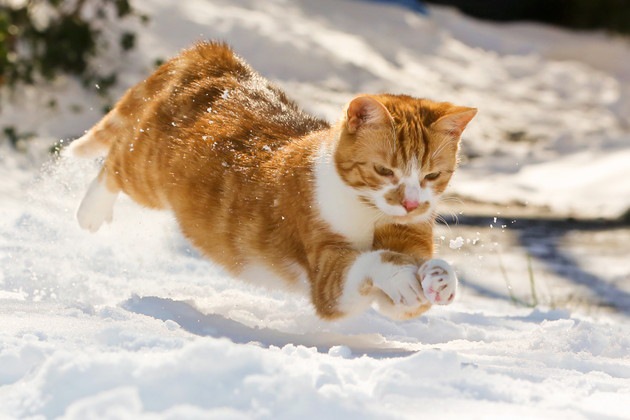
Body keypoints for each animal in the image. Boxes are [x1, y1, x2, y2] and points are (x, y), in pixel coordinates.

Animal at [69, 41, 476, 318]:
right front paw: (399, 272)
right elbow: (368, 263)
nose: (410, 203)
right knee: (115, 160)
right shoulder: (326, 275)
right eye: (384, 171)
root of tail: (215, 57)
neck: (370, 213)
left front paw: (439, 276)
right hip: (148, 174)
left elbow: (406, 294)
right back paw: (90, 212)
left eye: (432, 175)